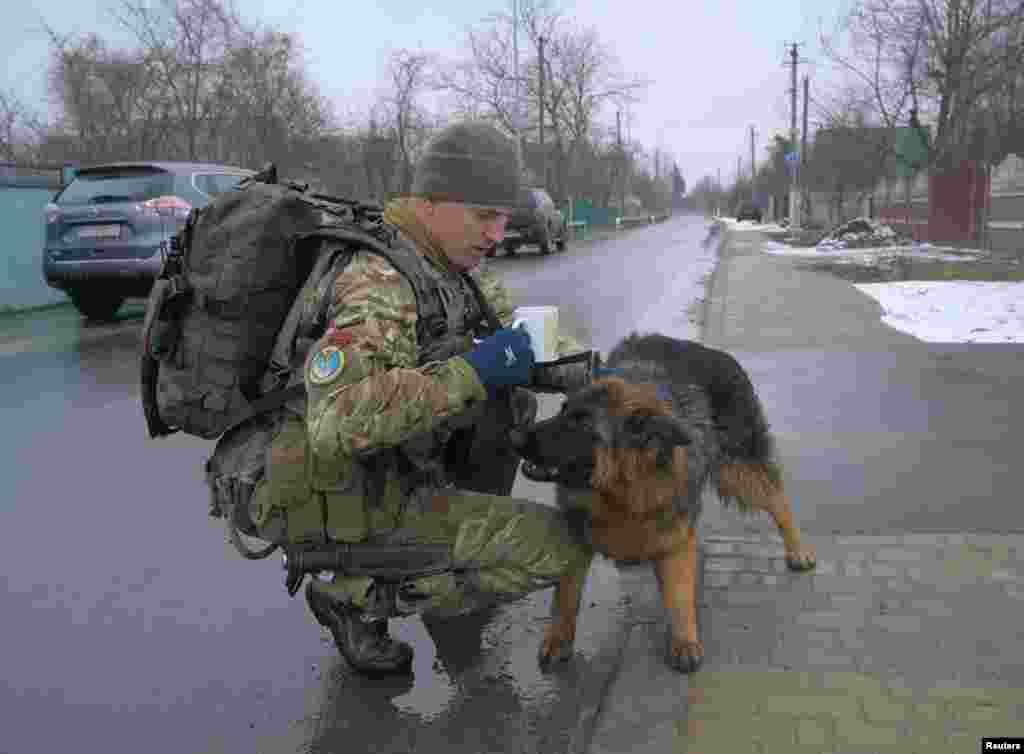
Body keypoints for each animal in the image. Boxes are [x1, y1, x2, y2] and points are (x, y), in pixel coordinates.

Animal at [512, 331, 815, 676]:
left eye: (582, 423)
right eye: (563, 410)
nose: (515, 437)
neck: (620, 494)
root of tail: (711, 351)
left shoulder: (676, 540)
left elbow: (679, 597)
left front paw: (684, 641)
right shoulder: (575, 542)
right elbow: (566, 599)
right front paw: (558, 640)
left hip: (739, 473)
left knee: (778, 501)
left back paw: (797, 550)